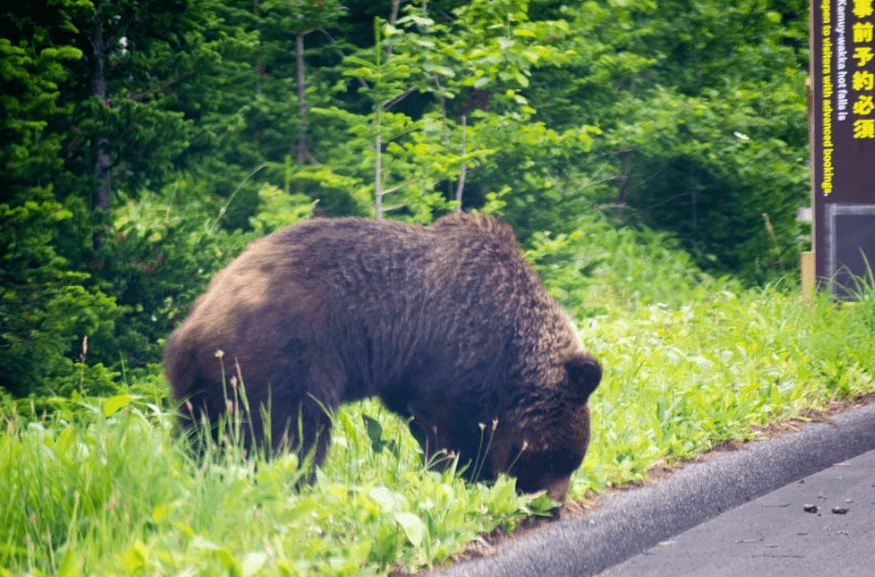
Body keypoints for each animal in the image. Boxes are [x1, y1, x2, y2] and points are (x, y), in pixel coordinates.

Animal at [164, 212, 604, 500]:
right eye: (560, 459)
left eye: (572, 461)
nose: (554, 504)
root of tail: (190, 329)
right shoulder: (453, 361)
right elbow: (451, 434)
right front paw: (464, 477)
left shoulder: (411, 377)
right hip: (282, 357)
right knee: (294, 434)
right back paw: (300, 488)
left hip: (204, 392)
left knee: (209, 441)